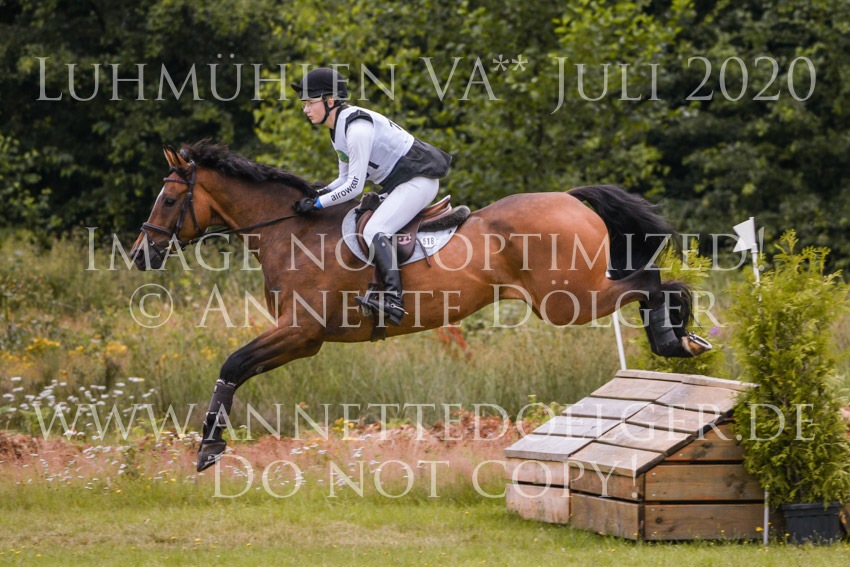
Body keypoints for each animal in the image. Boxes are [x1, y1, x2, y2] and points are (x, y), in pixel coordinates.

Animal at [130, 142, 711, 471]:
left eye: (167, 198)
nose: (140, 253)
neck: (292, 233)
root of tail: (570, 198)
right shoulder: (304, 341)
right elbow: (236, 368)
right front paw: (210, 447)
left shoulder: (301, 332)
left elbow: (231, 364)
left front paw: (207, 450)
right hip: (570, 295)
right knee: (652, 283)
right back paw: (680, 338)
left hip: (567, 299)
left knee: (654, 282)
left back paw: (676, 339)